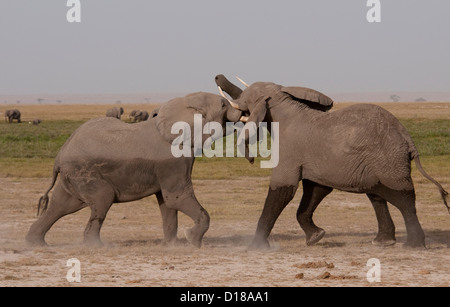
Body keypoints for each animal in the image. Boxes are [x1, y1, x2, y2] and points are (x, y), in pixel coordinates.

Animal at [25, 92, 243, 249]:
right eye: (223, 105)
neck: (183, 104)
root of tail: (59, 157)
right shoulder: (173, 160)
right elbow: (177, 197)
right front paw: (192, 241)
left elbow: (167, 203)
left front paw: (172, 245)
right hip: (85, 173)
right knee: (101, 200)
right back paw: (98, 246)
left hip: (74, 176)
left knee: (61, 205)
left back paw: (36, 244)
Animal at [216, 75, 448, 250]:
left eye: (246, 99)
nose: (217, 76)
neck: (284, 102)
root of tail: (407, 139)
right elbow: (316, 190)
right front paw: (316, 237)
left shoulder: (290, 150)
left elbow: (283, 189)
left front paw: (255, 247)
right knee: (378, 194)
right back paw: (383, 242)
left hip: (388, 160)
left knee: (403, 197)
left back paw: (412, 245)